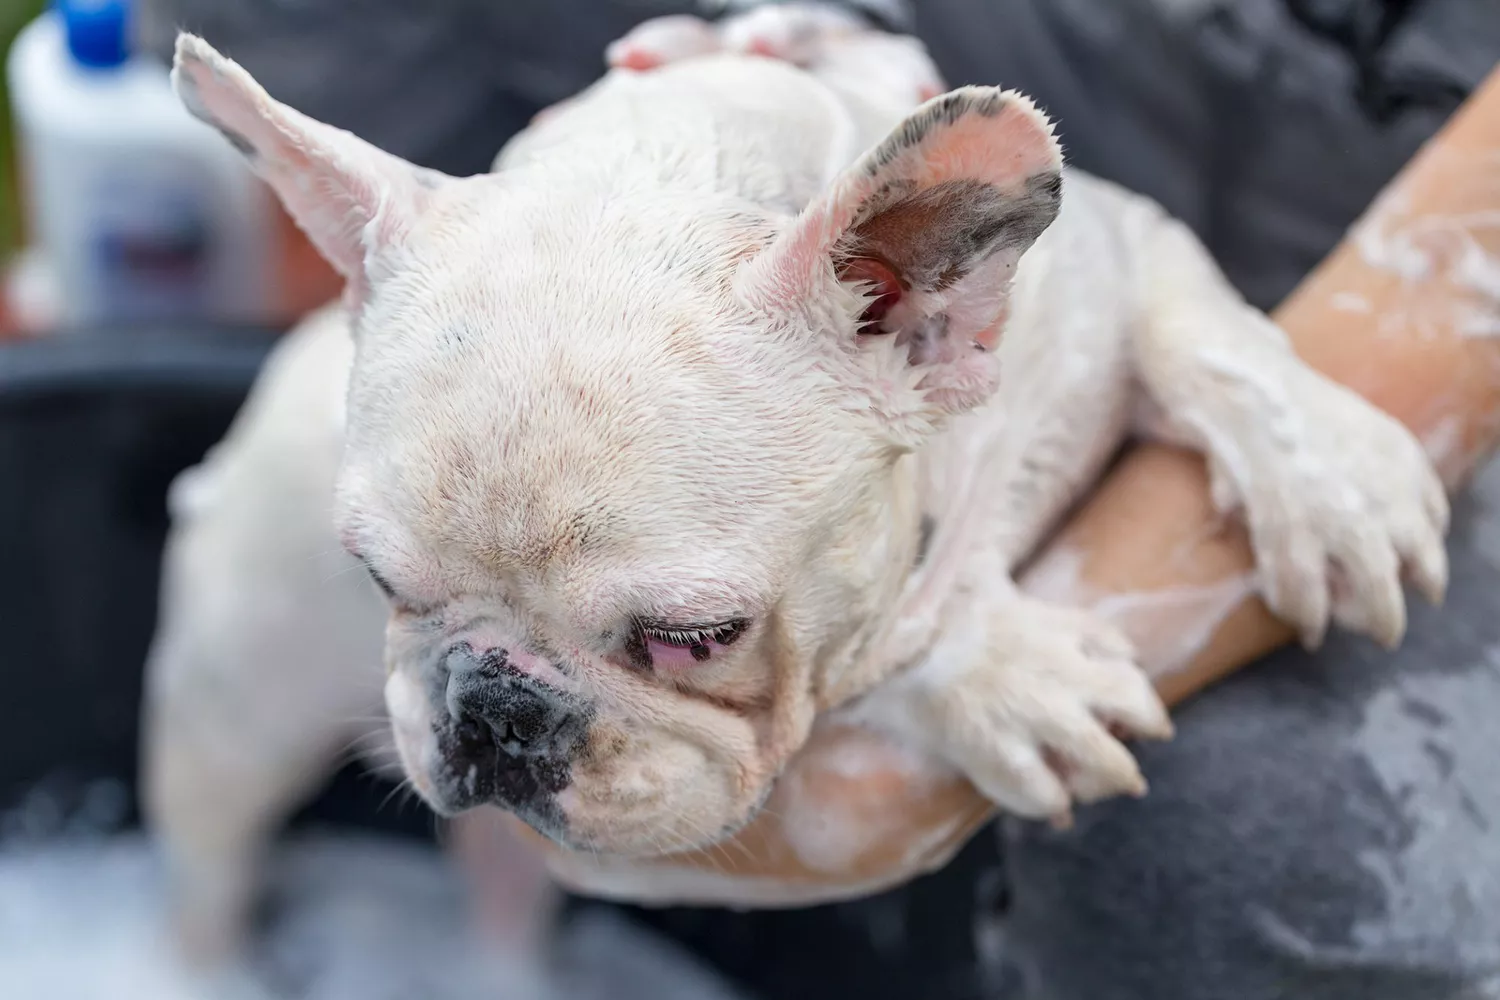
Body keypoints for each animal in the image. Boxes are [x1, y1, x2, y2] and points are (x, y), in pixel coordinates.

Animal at [143, 3, 1440, 959]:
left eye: (695, 637)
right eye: (378, 581)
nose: (494, 710)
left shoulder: (1121, 249)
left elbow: (1206, 329)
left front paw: (1329, 476)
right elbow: (888, 654)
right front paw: (1001, 675)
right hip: (232, 703)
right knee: (209, 859)